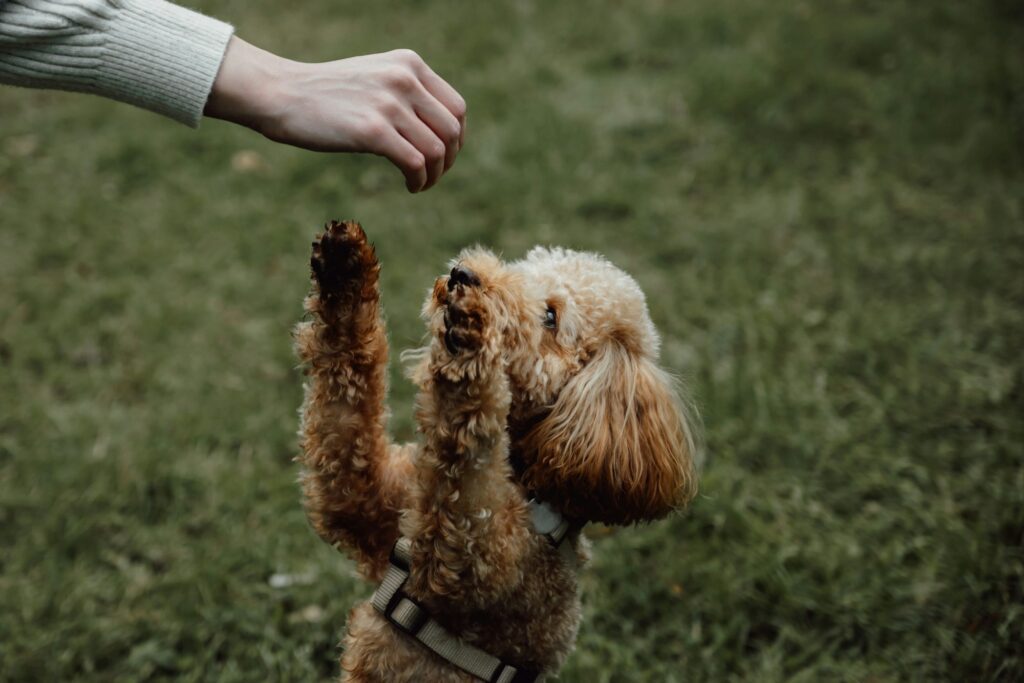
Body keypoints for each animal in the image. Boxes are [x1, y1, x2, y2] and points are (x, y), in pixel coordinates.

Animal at [292, 222, 700, 679]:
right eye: (522, 270)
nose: (462, 274)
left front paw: (471, 334)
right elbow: (343, 399)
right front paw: (343, 264)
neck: (522, 477)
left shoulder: (479, 561)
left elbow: (468, 453)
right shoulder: (364, 498)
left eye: (551, 316)